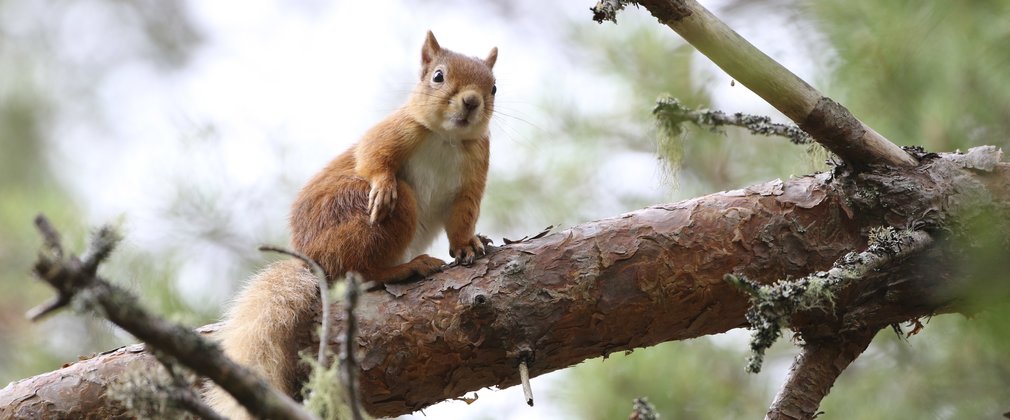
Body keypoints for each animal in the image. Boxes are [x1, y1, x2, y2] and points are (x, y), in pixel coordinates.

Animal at [204, 31, 496, 417]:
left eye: (494, 87)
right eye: (438, 76)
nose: (471, 101)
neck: (448, 138)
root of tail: (312, 258)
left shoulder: (475, 165)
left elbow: (464, 213)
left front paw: (468, 244)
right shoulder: (397, 129)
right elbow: (372, 156)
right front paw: (382, 183)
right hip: (369, 215)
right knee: (360, 268)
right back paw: (407, 267)